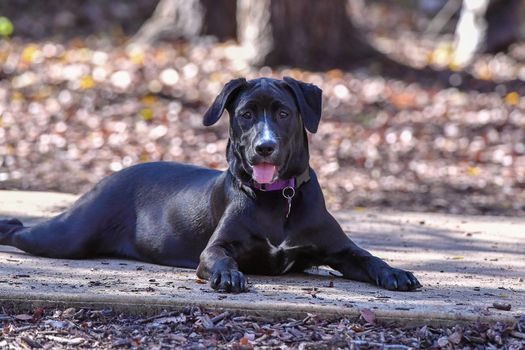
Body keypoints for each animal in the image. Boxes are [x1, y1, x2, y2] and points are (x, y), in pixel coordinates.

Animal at [0, 77, 418, 292]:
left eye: (283, 113)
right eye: (246, 114)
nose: (264, 147)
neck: (279, 198)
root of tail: (113, 175)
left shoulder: (341, 250)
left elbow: (369, 257)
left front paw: (396, 273)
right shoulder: (216, 247)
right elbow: (220, 257)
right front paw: (228, 275)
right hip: (67, 236)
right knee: (23, 230)